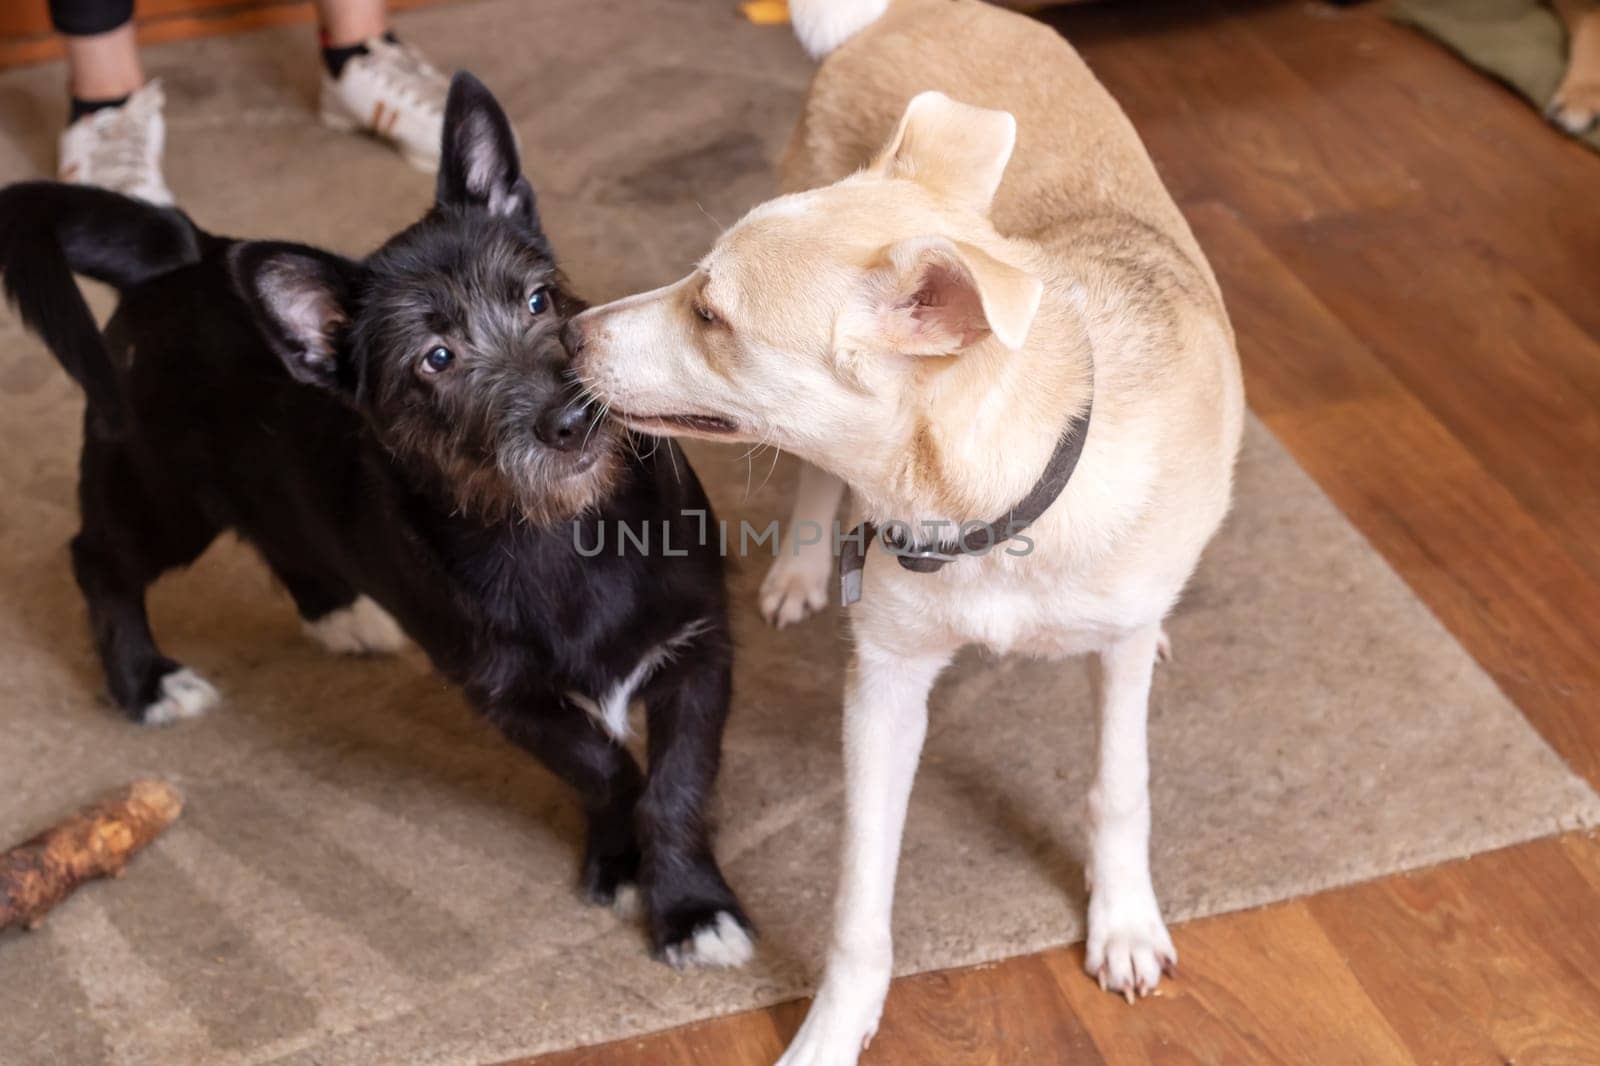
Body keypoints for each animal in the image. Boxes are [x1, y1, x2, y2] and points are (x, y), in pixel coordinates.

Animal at [0, 70, 752, 960]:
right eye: (436, 359)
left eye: (539, 299)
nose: (573, 420)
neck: (558, 530)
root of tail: (183, 251)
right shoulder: (506, 695)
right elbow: (603, 766)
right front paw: (624, 859)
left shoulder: (698, 651)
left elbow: (676, 782)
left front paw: (690, 906)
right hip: (164, 495)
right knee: (96, 558)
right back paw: (146, 681)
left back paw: (337, 614)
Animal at [569, 2, 1241, 1056]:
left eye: (711, 314)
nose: (566, 333)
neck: (985, 505)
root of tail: (908, 13)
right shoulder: (884, 686)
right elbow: (859, 903)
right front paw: (832, 1032)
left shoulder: (1115, 656)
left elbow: (1120, 784)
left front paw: (1125, 921)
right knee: (813, 476)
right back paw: (803, 569)